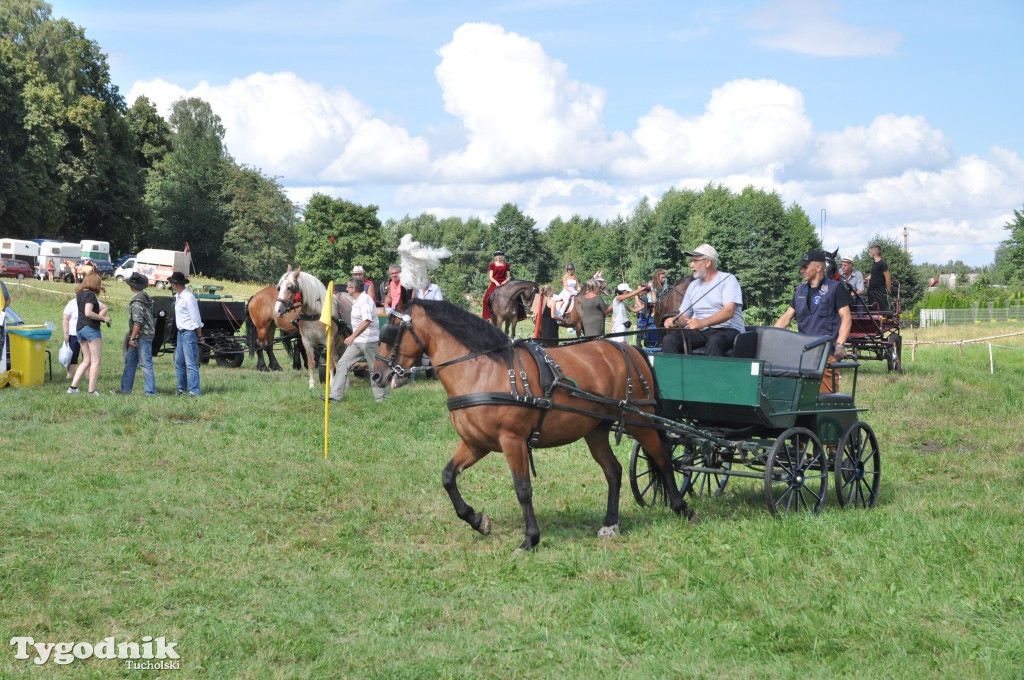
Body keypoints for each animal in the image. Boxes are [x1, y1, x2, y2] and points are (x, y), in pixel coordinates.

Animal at [372, 301, 692, 548]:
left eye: (392, 331)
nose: (375, 375)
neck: (482, 370)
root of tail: (630, 350)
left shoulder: (512, 440)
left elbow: (523, 488)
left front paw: (531, 538)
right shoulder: (476, 443)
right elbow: (448, 477)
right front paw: (478, 520)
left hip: (641, 420)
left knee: (663, 459)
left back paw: (681, 507)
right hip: (595, 430)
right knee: (613, 471)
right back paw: (611, 523)